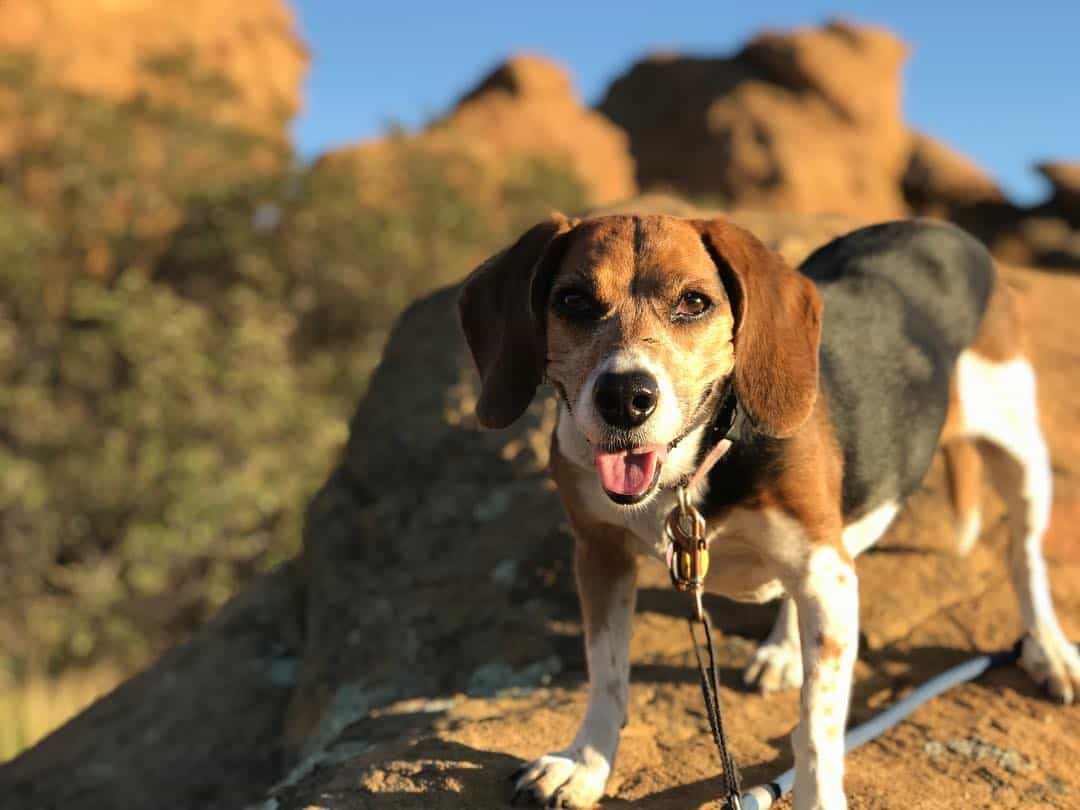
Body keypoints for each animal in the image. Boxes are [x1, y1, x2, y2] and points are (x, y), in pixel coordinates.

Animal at [455, 216, 1080, 810]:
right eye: (573, 301)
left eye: (694, 302)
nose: (626, 398)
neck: (693, 467)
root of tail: (946, 231)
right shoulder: (599, 553)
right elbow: (606, 675)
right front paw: (585, 764)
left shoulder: (827, 571)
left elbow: (816, 728)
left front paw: (818, 798)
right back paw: (784, 647)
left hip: (1021, 458)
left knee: (1023, 555)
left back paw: (1049, 651)